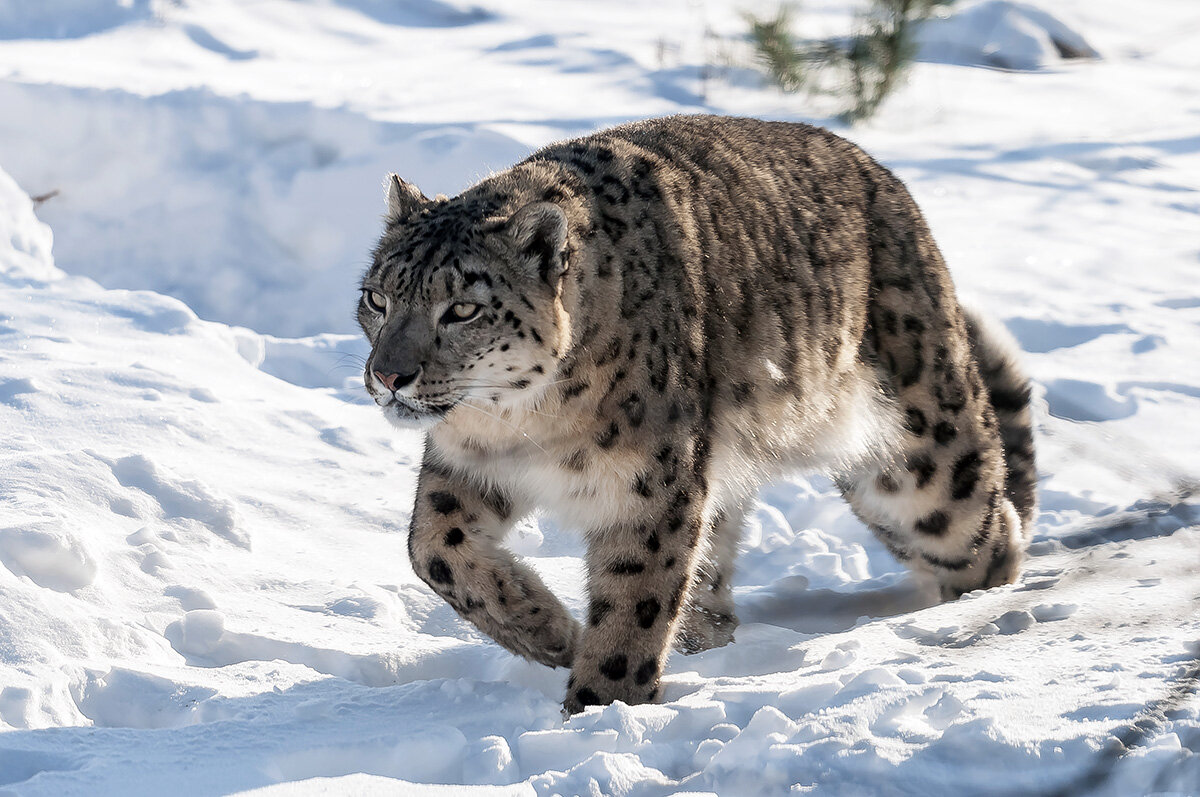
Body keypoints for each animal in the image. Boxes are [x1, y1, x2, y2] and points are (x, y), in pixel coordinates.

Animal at [352, 115, 1032, 710]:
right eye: (377, 297)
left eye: (463, 309)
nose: (389, 375)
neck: (522, 424)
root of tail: (894, 190)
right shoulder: (464, 465)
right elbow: (432, 549)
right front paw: (549, 631)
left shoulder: (648, 488)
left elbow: (634, 604)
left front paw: (600, 710)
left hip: (921, 466)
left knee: (992, 534)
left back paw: (979, 625)